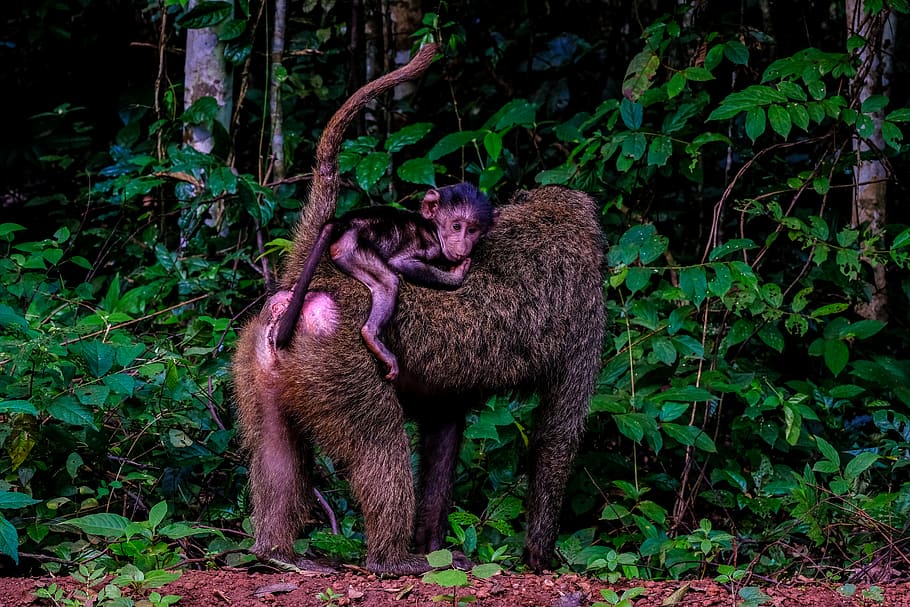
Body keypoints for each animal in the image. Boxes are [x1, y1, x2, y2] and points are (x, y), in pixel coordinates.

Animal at [273, 182, 495, 381]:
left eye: (472, 230)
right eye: (456, 226)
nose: (463, 245)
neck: (433, 229)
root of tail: (345, 221)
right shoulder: (430, 245)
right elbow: (402, 263)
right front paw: (456, 276)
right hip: (350, 247)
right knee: (388, 282)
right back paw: (371, 335)